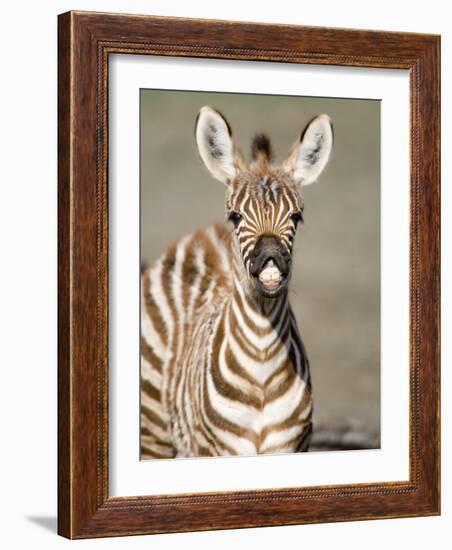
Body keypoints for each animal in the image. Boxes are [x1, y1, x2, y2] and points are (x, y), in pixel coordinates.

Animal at [139, 105, 334, 460]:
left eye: (296, 216)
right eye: (236, 216)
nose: (270, 260)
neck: (262, 363)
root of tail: (203, 234)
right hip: (153, 431)